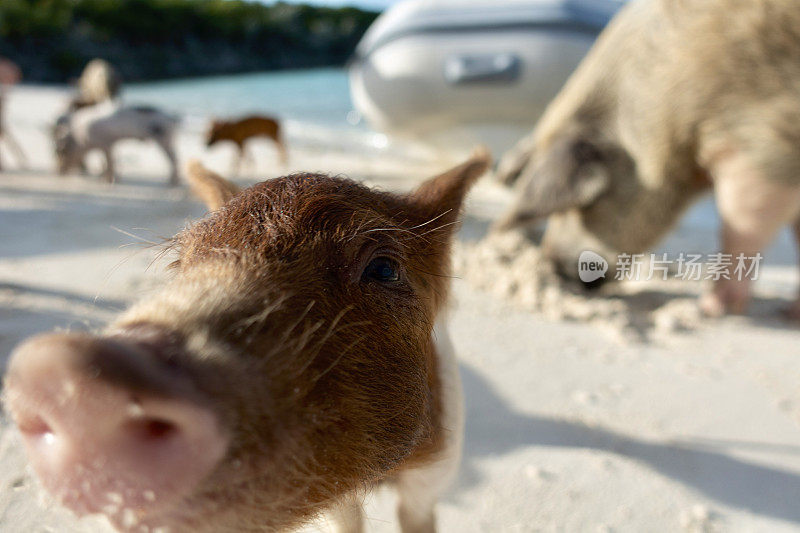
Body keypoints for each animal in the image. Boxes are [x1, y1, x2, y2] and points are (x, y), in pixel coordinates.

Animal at [496, 0, 800, 316]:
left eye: (582, 205)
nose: (553, 263)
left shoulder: (760, 144)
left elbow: (741, 225)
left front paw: (711, 309)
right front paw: (790, 314)